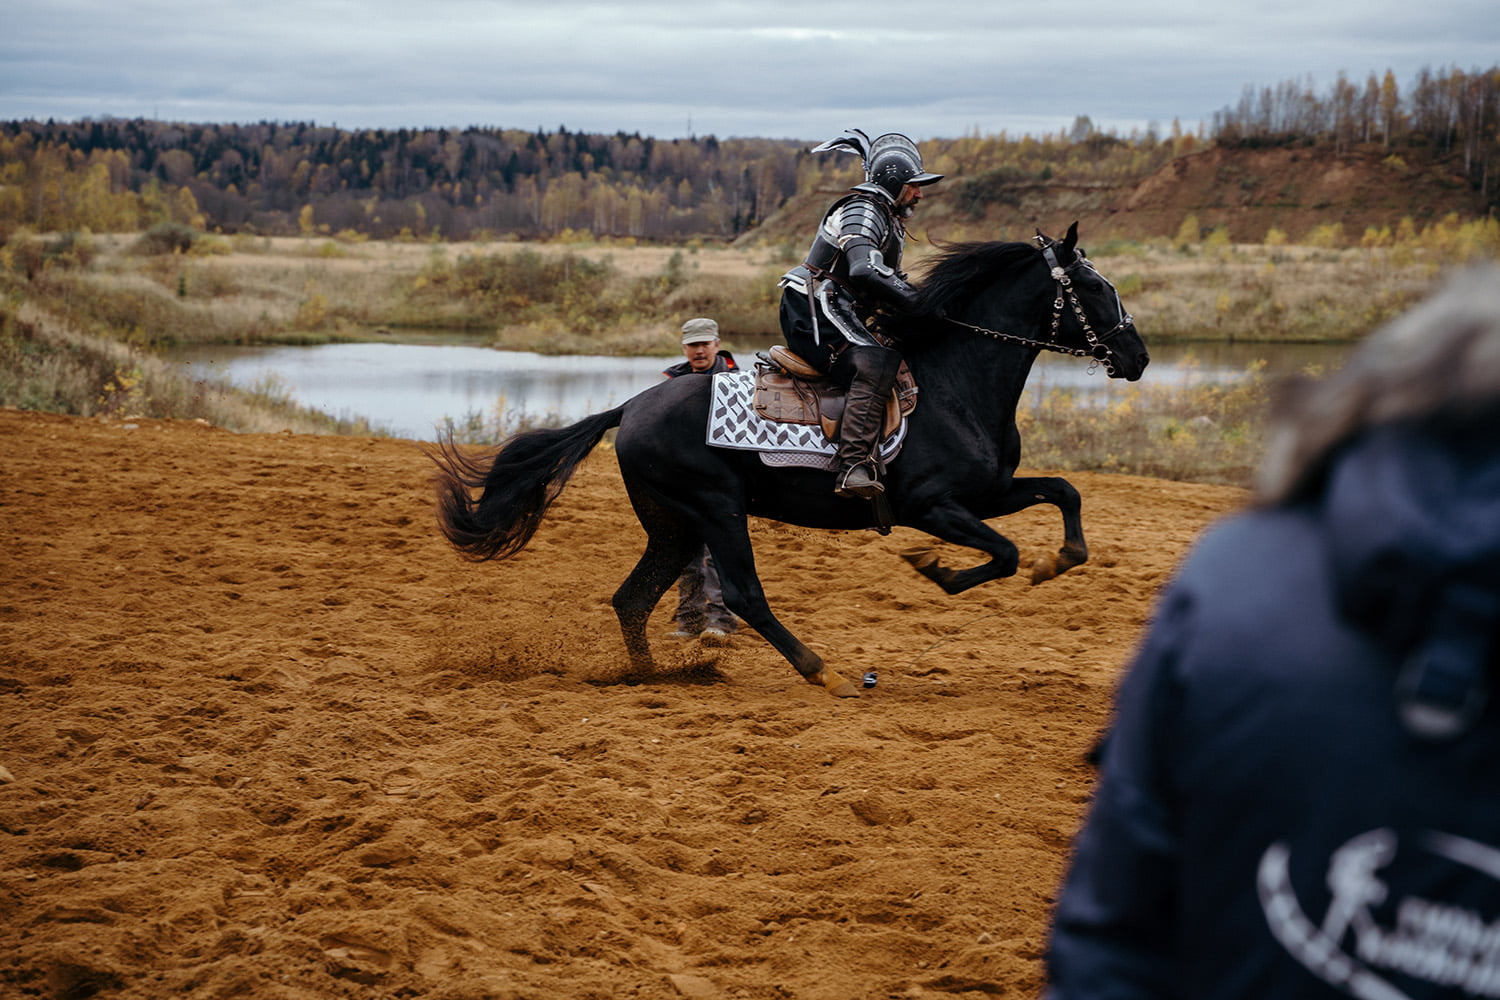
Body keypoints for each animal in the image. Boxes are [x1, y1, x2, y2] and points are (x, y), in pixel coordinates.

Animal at [429, 224, 1152, 695]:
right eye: (1093, 285)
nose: (1138, 355)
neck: (957, 385)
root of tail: (629, 408)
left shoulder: (988, 495)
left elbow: (1064, 494)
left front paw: (1056, 561)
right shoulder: (933, 507)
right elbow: (1002, 553)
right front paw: (937, 571)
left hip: (673, 524)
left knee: (632, 598)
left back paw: (651, 676)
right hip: (716, 511)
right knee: (743, 594)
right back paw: (822, 670)